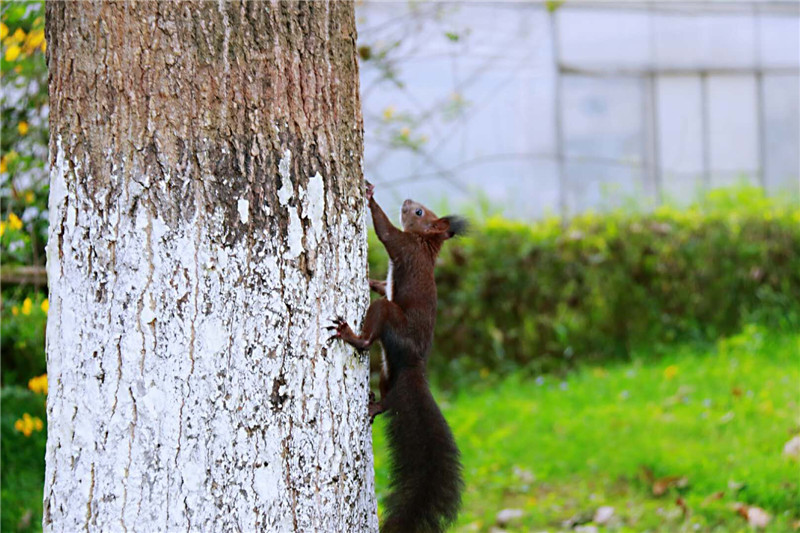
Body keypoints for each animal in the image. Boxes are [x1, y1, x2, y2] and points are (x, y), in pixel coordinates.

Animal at [328, 182, 466, 532]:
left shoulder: (403, 245)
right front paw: (368, 279)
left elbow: (385, 232)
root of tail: (415, 367)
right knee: (390, 397)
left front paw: (370, 196)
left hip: (391, 318)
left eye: (418, 212)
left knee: (370, 336)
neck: (425, 244)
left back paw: (352, 336)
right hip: (389, 371)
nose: (406, 199)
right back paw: (375, 404)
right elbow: (380, 283)